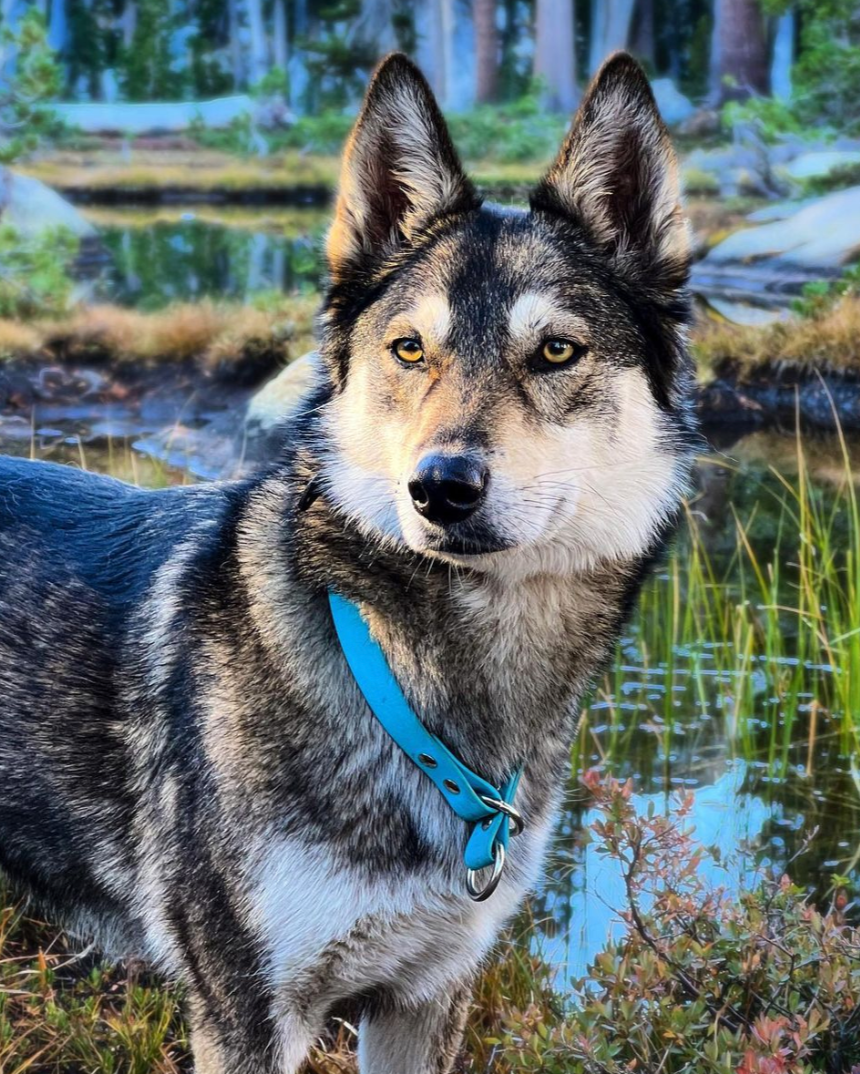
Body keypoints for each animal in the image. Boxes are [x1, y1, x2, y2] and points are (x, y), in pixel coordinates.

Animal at [0, 52, 695, 1074]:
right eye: (410, 349)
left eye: (556, 351)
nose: (440, 487)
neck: (405, 690)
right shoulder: (246, 1016)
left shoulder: (427, 998)